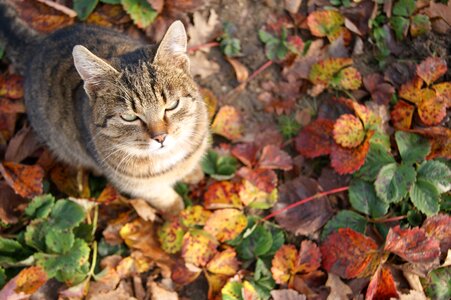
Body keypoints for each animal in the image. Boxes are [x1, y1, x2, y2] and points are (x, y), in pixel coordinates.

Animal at [0, 1, 211, 214]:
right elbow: (162, 197)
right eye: (129, 117)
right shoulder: (139, 186)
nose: (160, 137)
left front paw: (193, 173)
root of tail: (39, 45)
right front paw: (176, 212)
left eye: (172, 105)